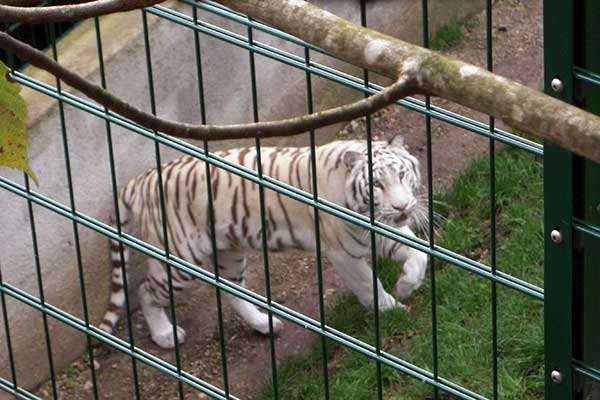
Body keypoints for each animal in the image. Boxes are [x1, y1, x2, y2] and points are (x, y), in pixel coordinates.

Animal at [99, 136, 426, 348]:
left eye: (402, 174)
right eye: (377, 184)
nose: (402, 207)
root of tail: (138, 181)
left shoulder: (379, 230)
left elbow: (419, 255)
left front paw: (406, 285)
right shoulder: (343, 251)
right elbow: (368, 285)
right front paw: (391, 309)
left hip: (229, 251)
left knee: (230, 290)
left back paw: (264, 324)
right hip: (178, 260)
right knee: (144, 291)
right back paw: (165, 336)